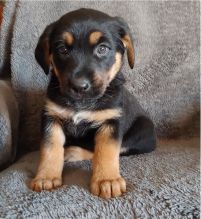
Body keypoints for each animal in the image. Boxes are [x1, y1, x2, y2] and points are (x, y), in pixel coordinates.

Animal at [29, 8, 156, 198]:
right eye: (62, 49)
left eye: (102, 49)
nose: (79, 86)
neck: (82, 103)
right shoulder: (51, 117)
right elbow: (50, 149)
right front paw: (46, 176)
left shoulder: (111, 121)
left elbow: (106, 151)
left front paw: (107, 180)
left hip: (144, 130)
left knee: (113, 149)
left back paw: (75, 152)